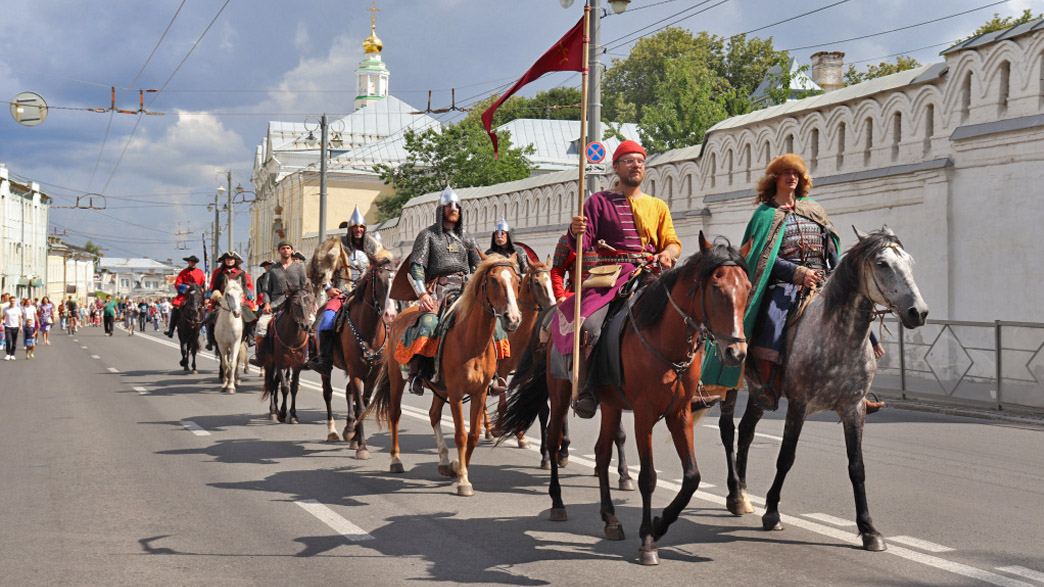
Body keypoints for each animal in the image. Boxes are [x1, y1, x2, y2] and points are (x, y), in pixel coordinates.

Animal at [259, 286, 315, 419]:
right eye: (295, 303)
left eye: (310, 302)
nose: (305, 325)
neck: (293, 337)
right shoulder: (280, 363)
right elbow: (284, 388)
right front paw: (283, 413)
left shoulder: (297, 365)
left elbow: (293, 387)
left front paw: (293, 414)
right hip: (271, 362)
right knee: (272, 383)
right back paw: (273, 410)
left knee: (276, 381)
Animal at [319, 244, 396, 459]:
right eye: (380, 279)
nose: (390, 315)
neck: (368, 333)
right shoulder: (355, 371)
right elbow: (360, 404)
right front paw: (362, 446)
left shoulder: (372, 373)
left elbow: (364, 402)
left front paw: (356, 439)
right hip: (327, 369)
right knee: (328, 394)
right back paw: (333, 432)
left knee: (348, 393)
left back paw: (349, 430)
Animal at [365, 253, 522, 495]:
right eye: (494, 280)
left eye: (516, 280)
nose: (512, 318)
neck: (471, 341)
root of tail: (400, 316)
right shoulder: (456, 394)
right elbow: (461, 435)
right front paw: (464, 481)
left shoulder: (479, 393)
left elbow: (473, 435)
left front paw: (458, 468)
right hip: (397, 379)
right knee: (395, 414)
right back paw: (396, 460)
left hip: (440, 389)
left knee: (433, 415)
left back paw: (445, 461)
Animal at [496, 231, 751, 564]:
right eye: (716, 287)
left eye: (748, 289)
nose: (736, 352)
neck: (664, 340)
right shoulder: (644, 414)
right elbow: (649, 477)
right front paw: (648, 541)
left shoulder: (679, 413)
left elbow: (692, 476)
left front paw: (659, 523)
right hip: (561, 391)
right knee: (553, 439)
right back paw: (558, 502)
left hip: (611, 404)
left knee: (602, 452)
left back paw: (611, 518)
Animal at [718, 226, 931, 551]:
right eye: (882, 263)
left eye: (909, 262)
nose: (918, 312)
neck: (838, 338)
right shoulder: (799, 405)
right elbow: (786, 457)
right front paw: (772, 512)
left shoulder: (854, 409)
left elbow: (857, 467)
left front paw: (869, 530)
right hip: (731, 384)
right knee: (728, 430)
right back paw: (734, 495)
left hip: (757, 393)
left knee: (746, 433)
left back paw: (743, 495)